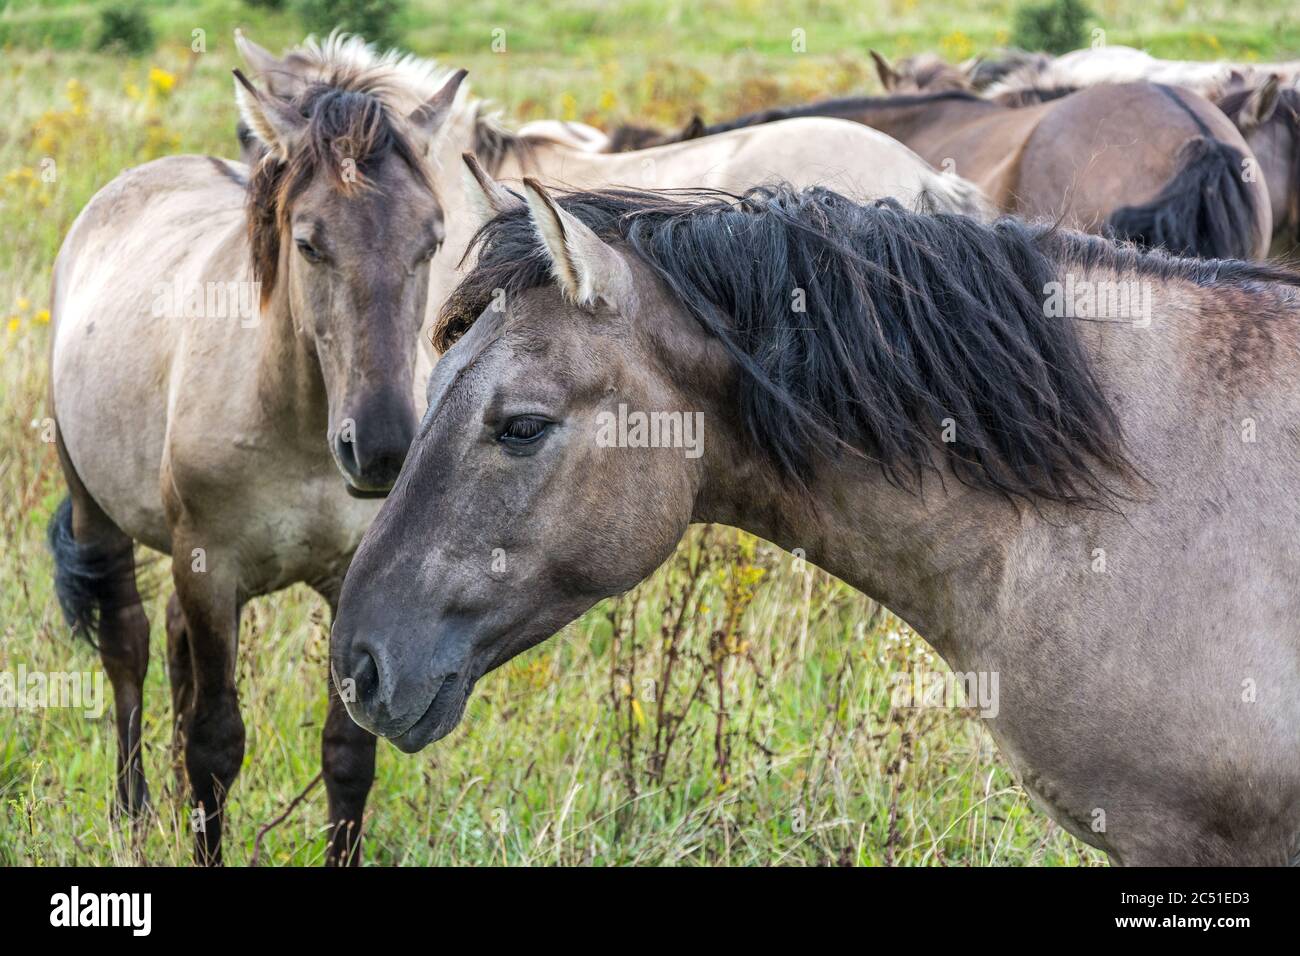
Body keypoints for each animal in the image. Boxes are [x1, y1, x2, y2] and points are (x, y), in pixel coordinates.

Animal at [47, 37, 467, 866]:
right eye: (309, 242)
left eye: (431, 240)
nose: (381, 449)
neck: (296, 430)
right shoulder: (210, 567)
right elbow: (216, 743)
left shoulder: (345, 579)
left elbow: (348, 753)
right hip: (96, 514)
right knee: (128, 649)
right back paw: (134, 811)